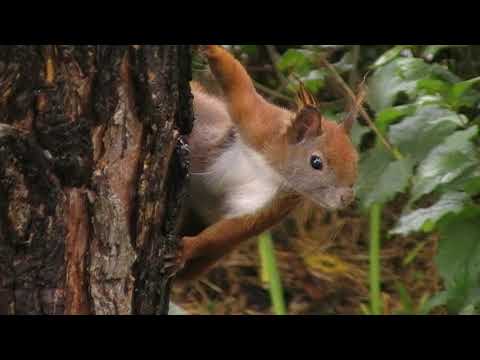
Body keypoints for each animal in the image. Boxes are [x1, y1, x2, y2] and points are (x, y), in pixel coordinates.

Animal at [171, 44, 358, 282]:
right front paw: (211, 50)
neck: (270, 169)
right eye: (316, 162)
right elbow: (239, 84)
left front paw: (187, 248)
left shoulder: (276, 203)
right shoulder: (258, 123)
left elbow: (231, 230)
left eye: (356, 160)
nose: (347, 198)